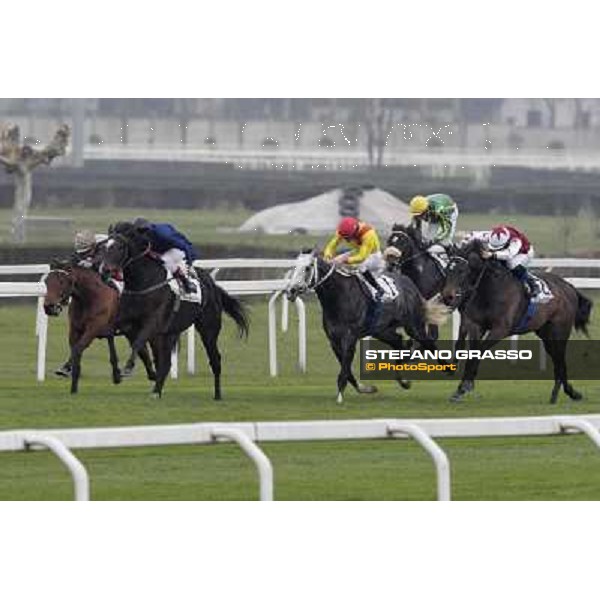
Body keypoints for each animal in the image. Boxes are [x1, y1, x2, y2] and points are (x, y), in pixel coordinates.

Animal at [44, 262, 157, 394]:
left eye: (61, 281)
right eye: (46, 281)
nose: (48, 307)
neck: (89, 298)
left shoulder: (93, 328)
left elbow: (78, 348)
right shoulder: (75, 329)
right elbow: (75, 349)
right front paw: (70, 379)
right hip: (130, 330)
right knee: (142, 350)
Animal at [102, 223, 250, 400]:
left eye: (120, 247)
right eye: (105, 247)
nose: (104, 271)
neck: (142, 283)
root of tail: (212, 285)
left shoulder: (153, 323)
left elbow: (138, 342)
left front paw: (128, 367)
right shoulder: (126, 322)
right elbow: (112, 336)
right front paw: (117, 373)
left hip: (208, 330)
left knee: (215, 360)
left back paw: (217, 395)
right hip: (169, 333)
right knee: (165, 362)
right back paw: (156, 392)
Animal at [286, 248, 450, 404]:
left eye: (307, 268)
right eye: (294, 266)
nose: (291, 291)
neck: (339, 296)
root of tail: (410, 283)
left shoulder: (349, 338)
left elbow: (345, 370)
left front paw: (339, 398)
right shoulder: (334, 340)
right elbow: (348, 371)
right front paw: (366, 388)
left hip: (414, 326)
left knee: (428, 342)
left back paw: (448, 368)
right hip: (381, 330)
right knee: (399, 342)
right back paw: (404, 379)